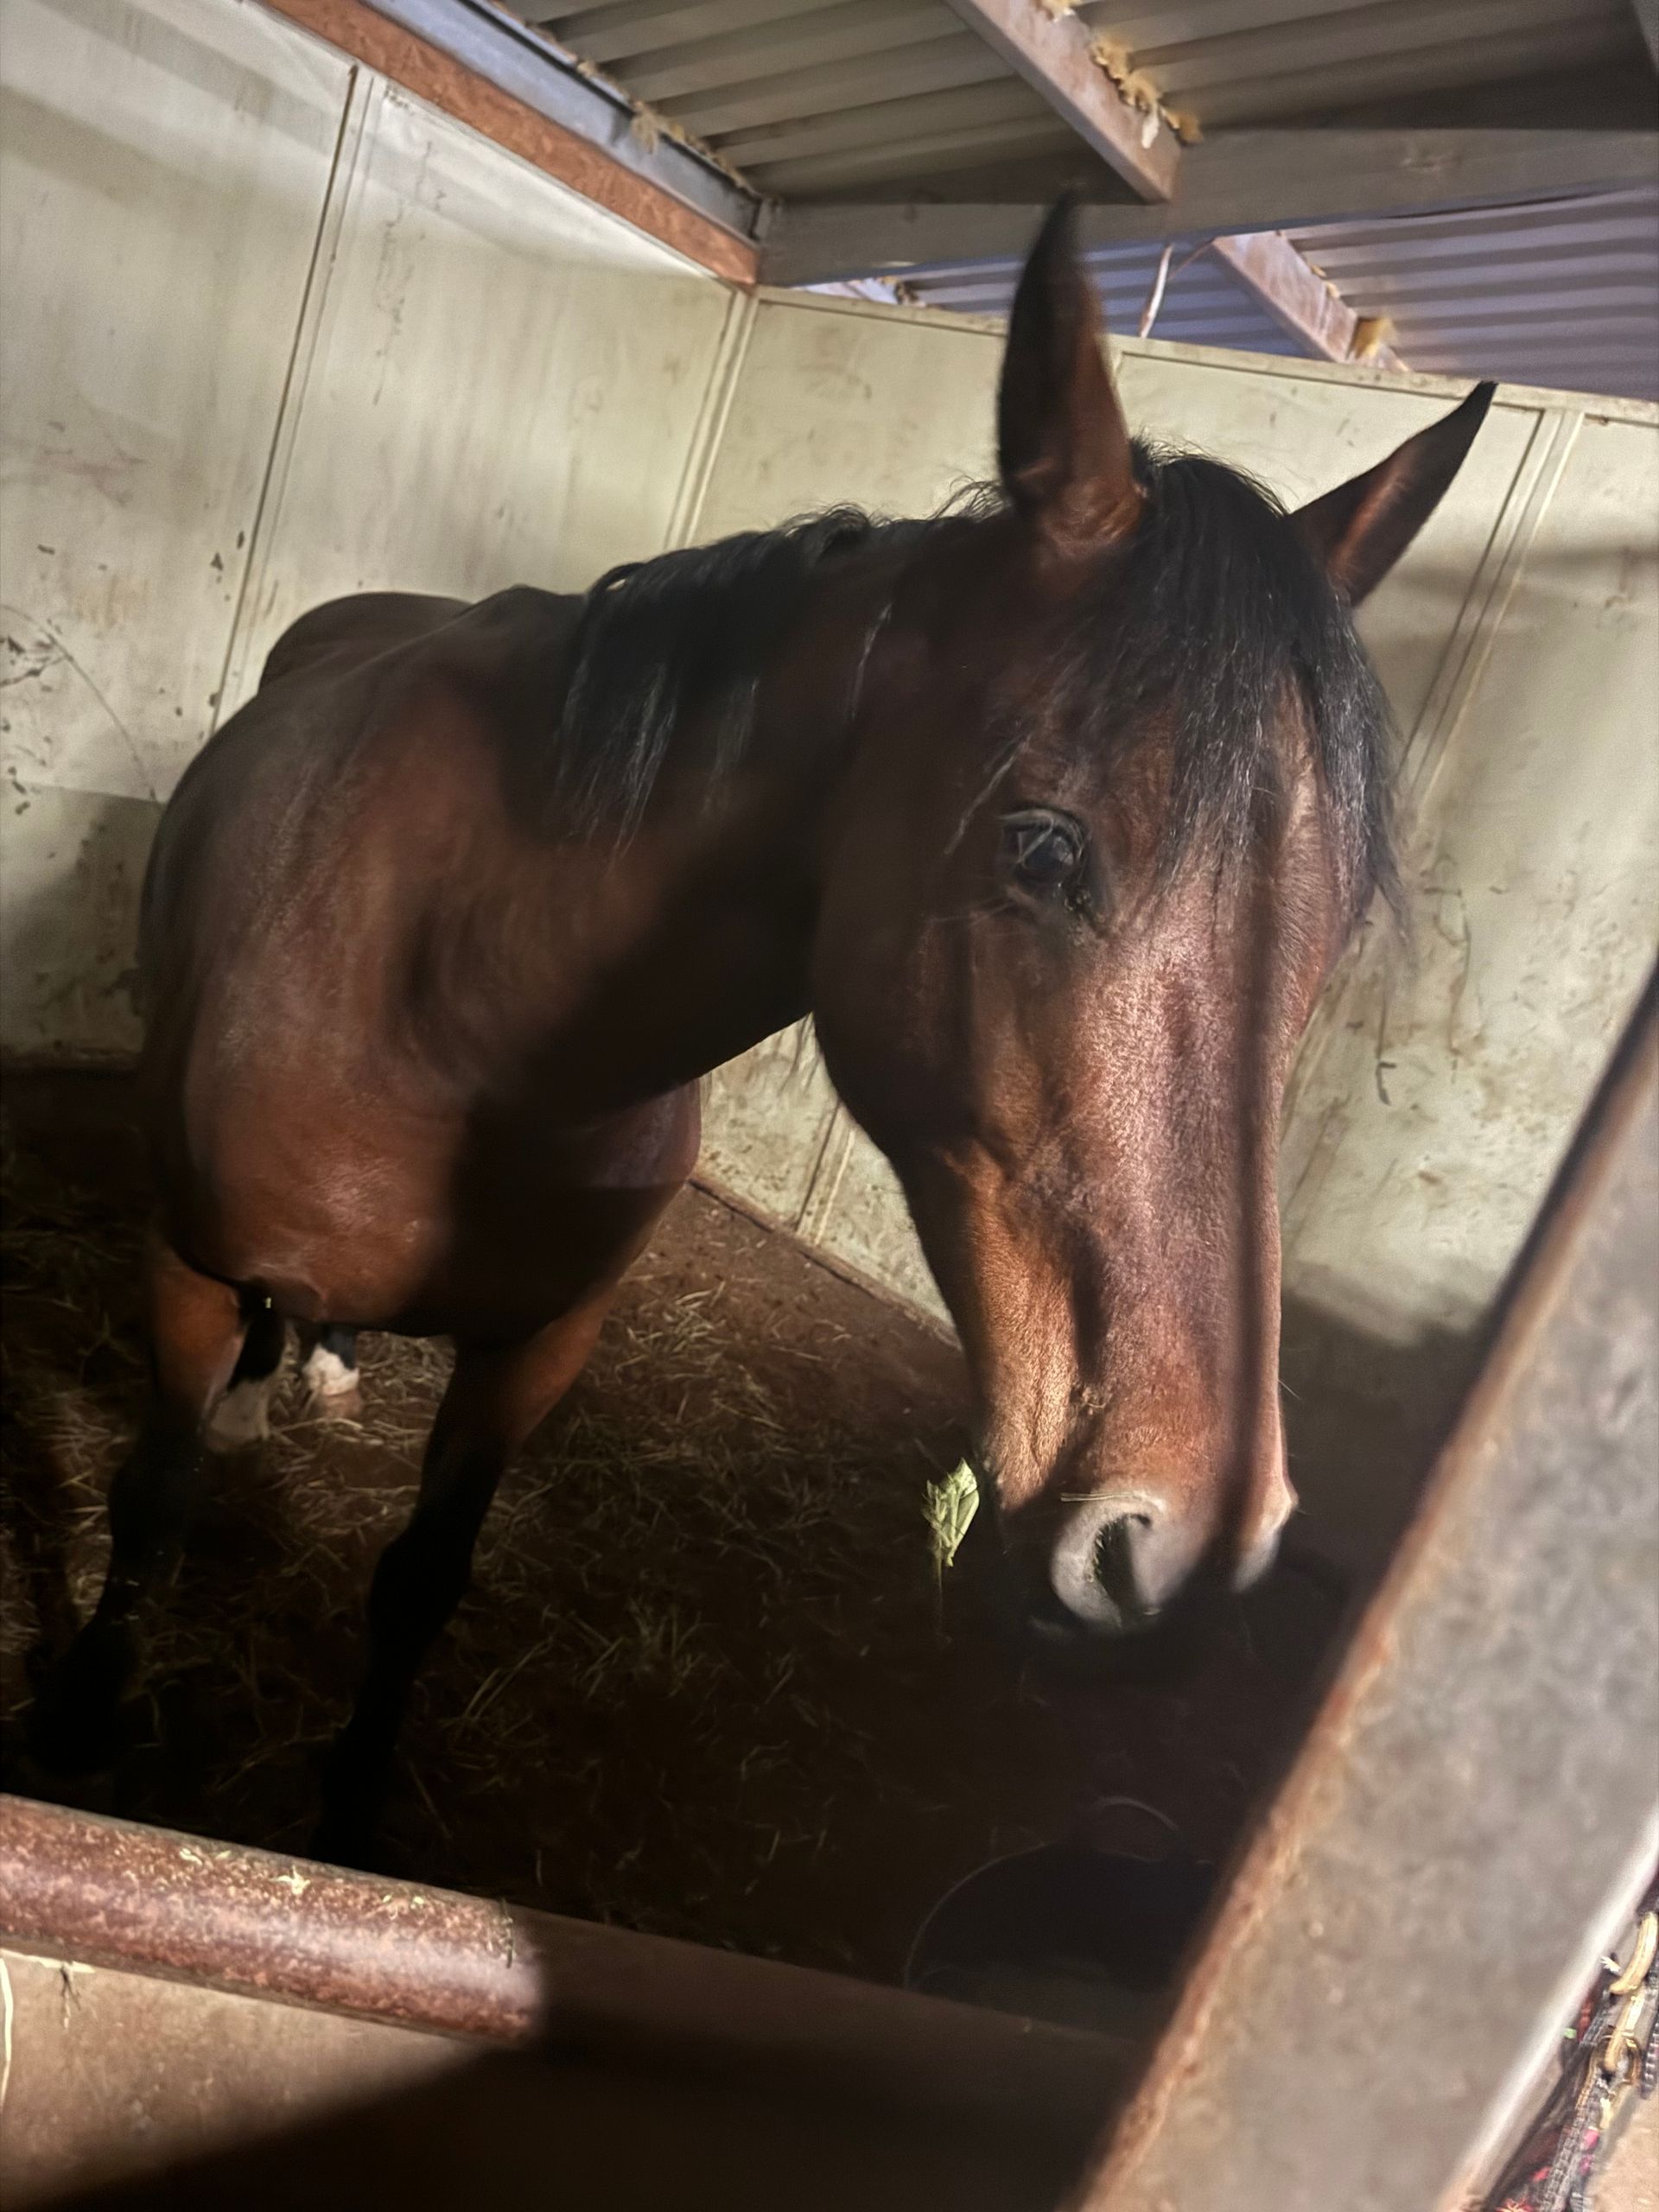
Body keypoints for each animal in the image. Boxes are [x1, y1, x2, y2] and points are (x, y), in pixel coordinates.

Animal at [29, 203, 1493, 1861]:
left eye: (1324, 926)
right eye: (1045, 851)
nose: (1182, 1544)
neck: (444, 1003)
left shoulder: (540, 1345)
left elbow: (419, 1584)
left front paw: (346, 1817)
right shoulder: (190, 1272)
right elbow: (152, 1505)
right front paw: (80, 1722)